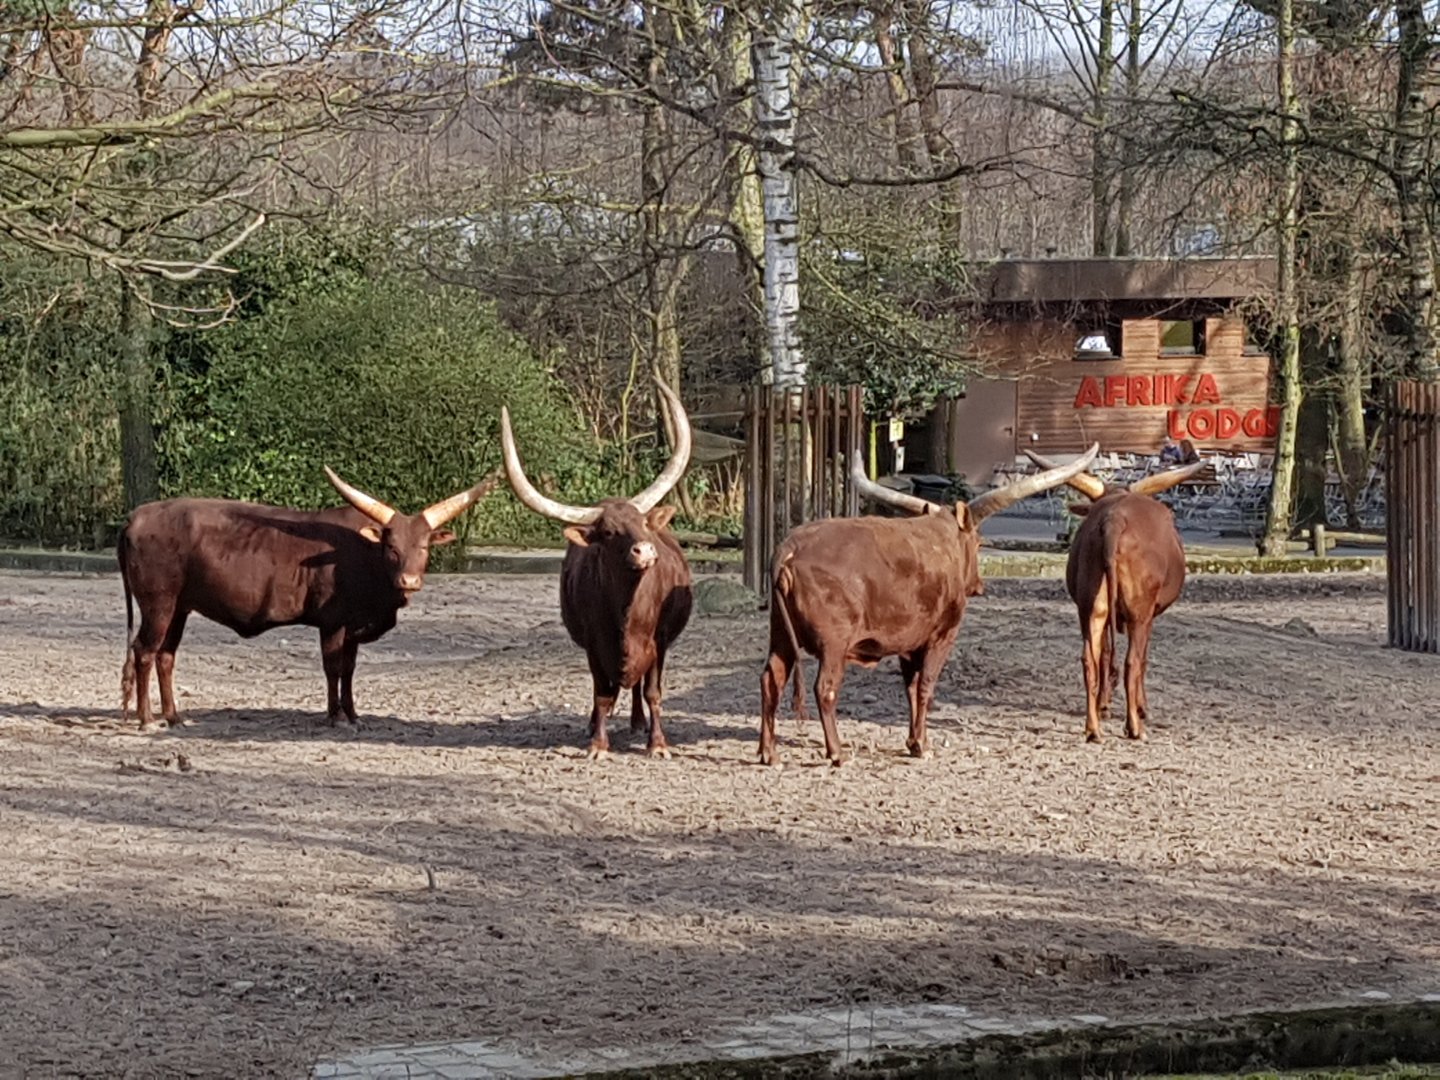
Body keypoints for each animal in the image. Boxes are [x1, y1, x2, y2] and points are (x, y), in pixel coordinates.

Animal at [118, 468, 500, 732]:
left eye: (423, 547)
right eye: (391, 547)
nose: (409, 580)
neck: (362, 554)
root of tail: (136, 516)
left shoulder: (353, 627)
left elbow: (349, 669)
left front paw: (353, 714)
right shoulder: (333, 622)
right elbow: (333, 667)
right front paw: (336, 716)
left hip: (179, 607)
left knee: (166, 656)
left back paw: (174, 717)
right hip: (158, 603)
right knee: (144, 652)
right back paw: (147, 719)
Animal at [499, 376, 693, 760]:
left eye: (643, 524)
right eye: (607, 532)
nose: (645, 550)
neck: (627, 614)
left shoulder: (660, 640)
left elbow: (653, 692)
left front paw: (657, 744)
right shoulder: (593, 644)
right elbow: (602, 693)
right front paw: (597, 744)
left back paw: (638, 723)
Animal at [759, 443, 1101, 767]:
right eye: (978, 542)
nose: (979, 585)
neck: (944, 539)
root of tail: (790, 548)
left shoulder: (909, 644)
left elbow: (910, 688)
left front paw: (913, 742)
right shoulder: (941, 636)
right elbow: (925, 686)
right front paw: (922, 745)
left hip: (780, 637)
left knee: (770, 680)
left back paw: (769, 752)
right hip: (833, 644)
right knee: (825, 688)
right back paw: (836, 753)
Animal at [1025, 449, 1207, 742]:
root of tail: (1114, 519)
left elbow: (1104, 655)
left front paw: (1104, 705)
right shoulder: (1149, 615)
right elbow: (1142, 659)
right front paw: (1142, 708)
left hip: (1091, 607)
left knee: (1090, 658)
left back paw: (1093, 727)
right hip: (1138, 612)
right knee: (1132, 662)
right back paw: (1134, 726)